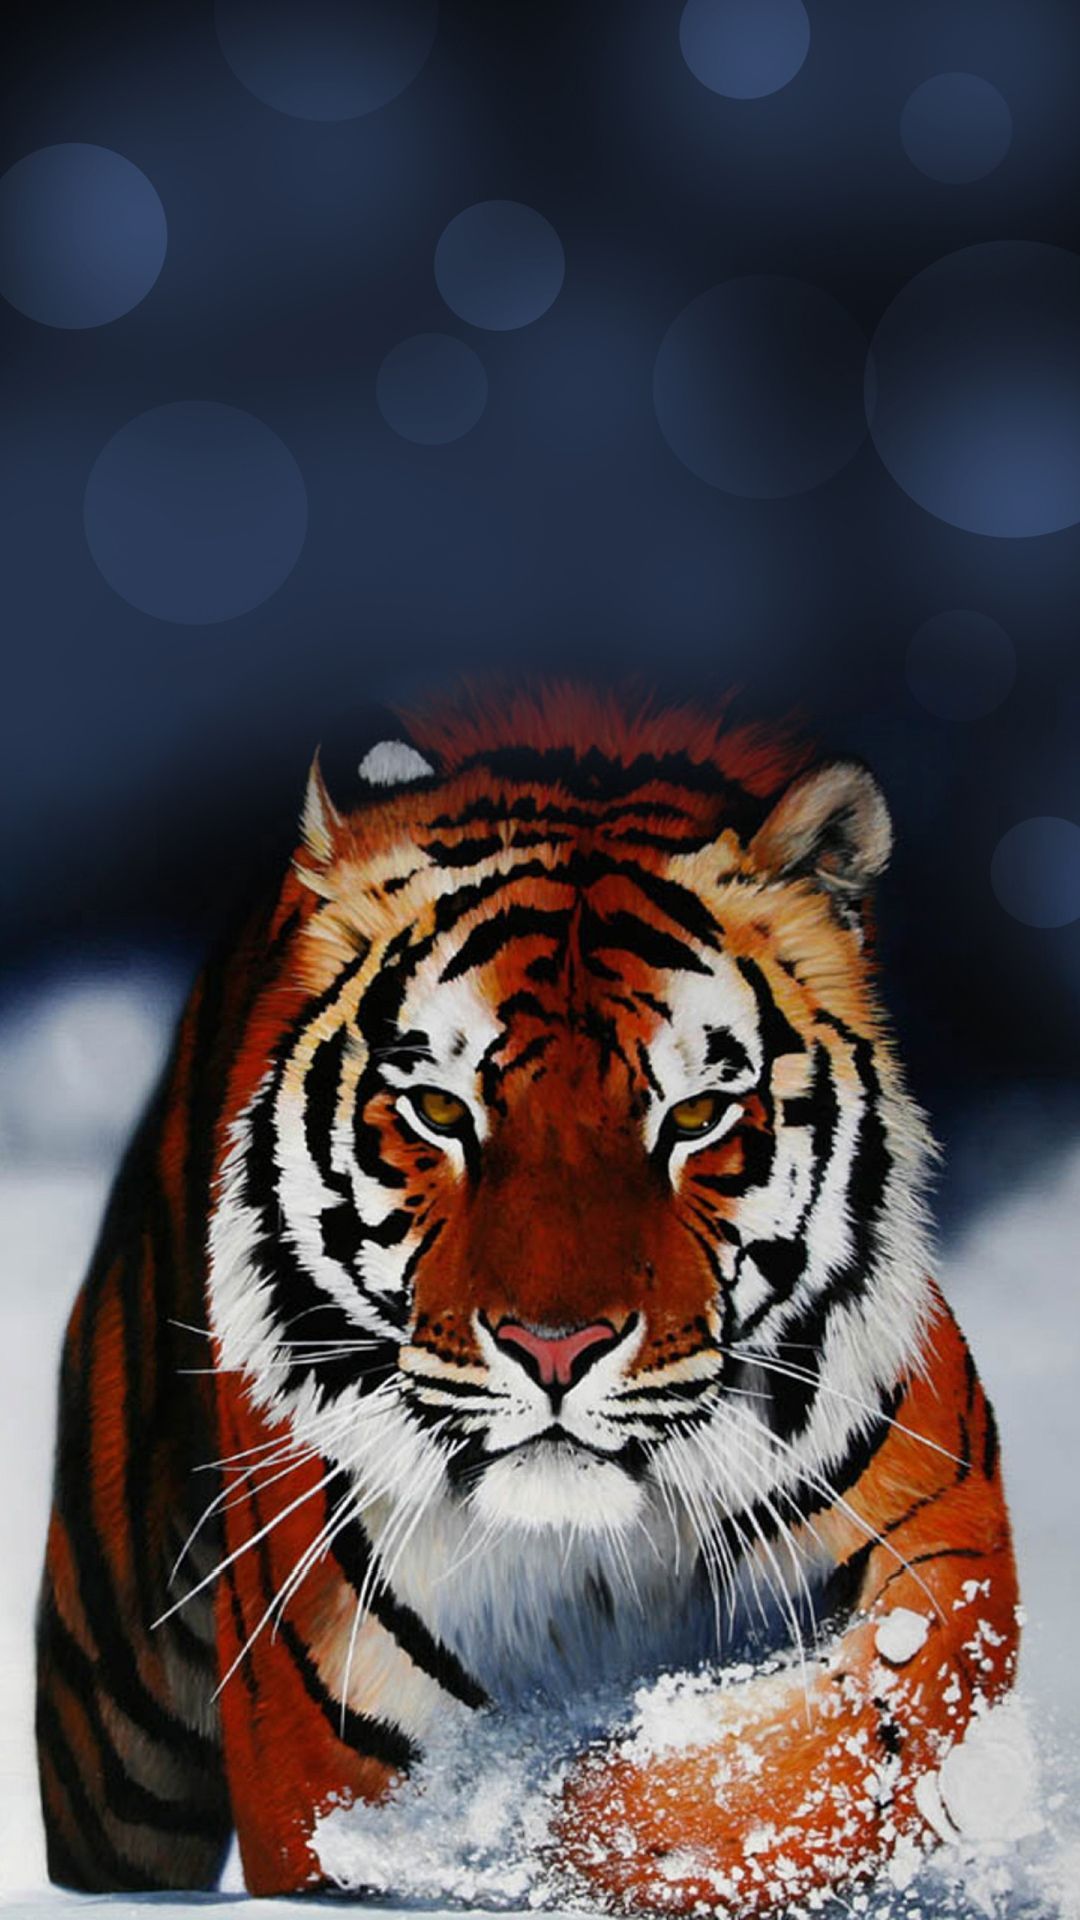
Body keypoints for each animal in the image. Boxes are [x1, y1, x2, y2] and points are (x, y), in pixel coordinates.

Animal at [36, 685, 1019, 1910]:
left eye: (697, 1117)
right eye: (440, 1111)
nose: (554, 1350)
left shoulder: (945, 1561)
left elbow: (814, 1750)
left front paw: (560, 1820)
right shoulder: (319, 1747)